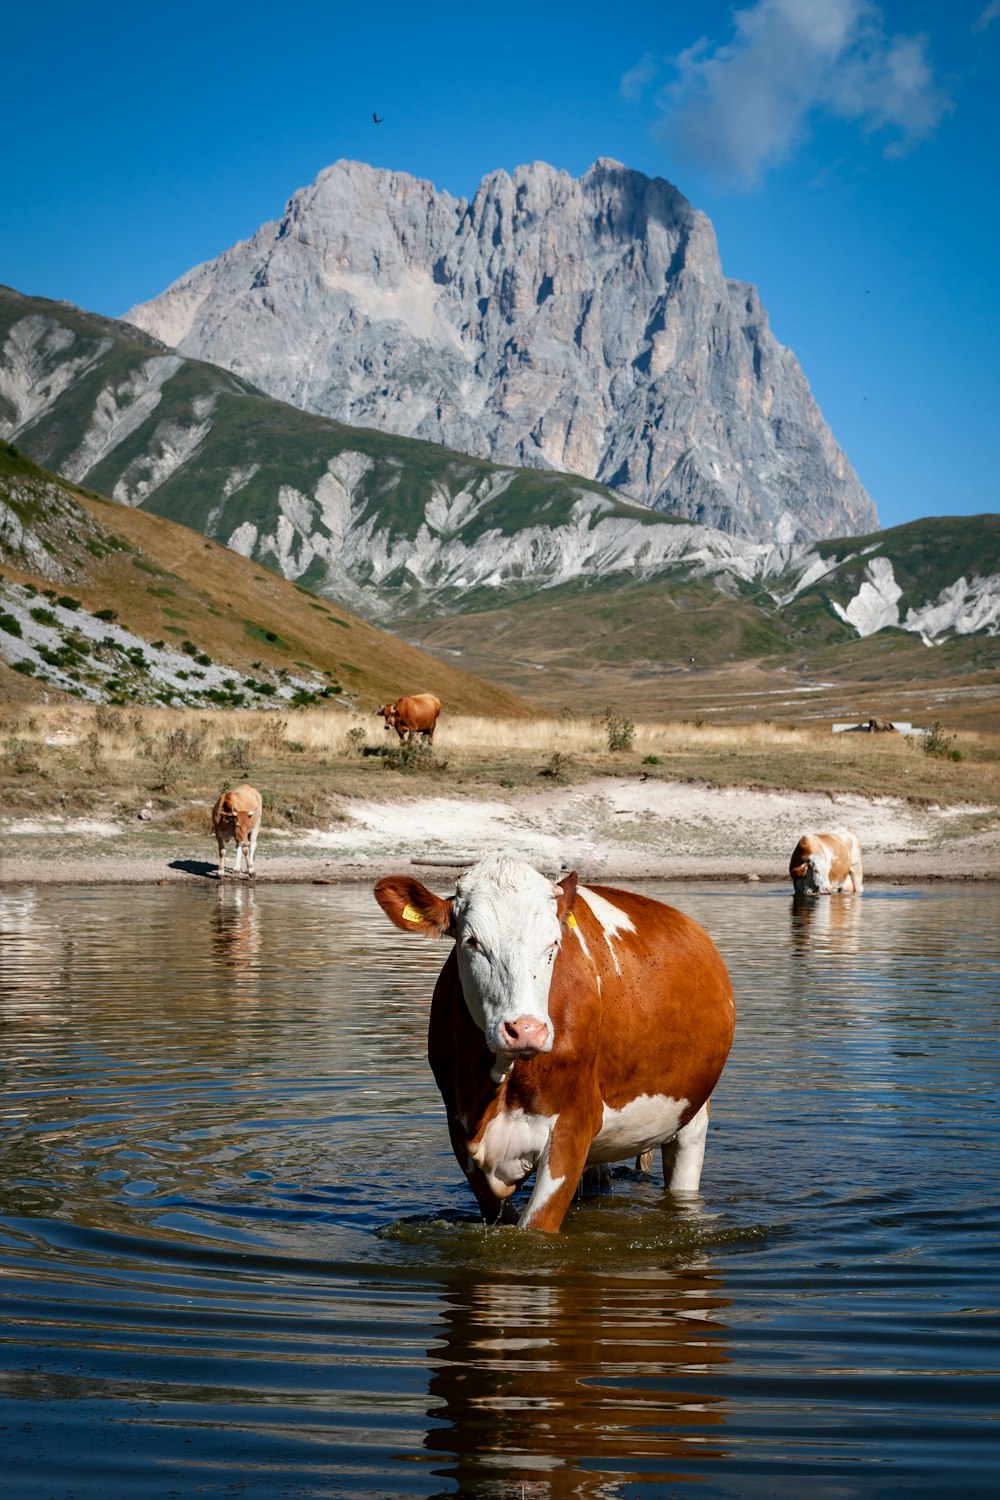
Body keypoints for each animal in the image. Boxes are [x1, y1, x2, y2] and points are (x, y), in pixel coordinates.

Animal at [373, 858, 734, 1230]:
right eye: (471, 941)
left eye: (553, 944)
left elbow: (537, 1228)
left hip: (692, 1116)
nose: (526, 1030)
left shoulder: (572, 1128)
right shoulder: (461, 1132)